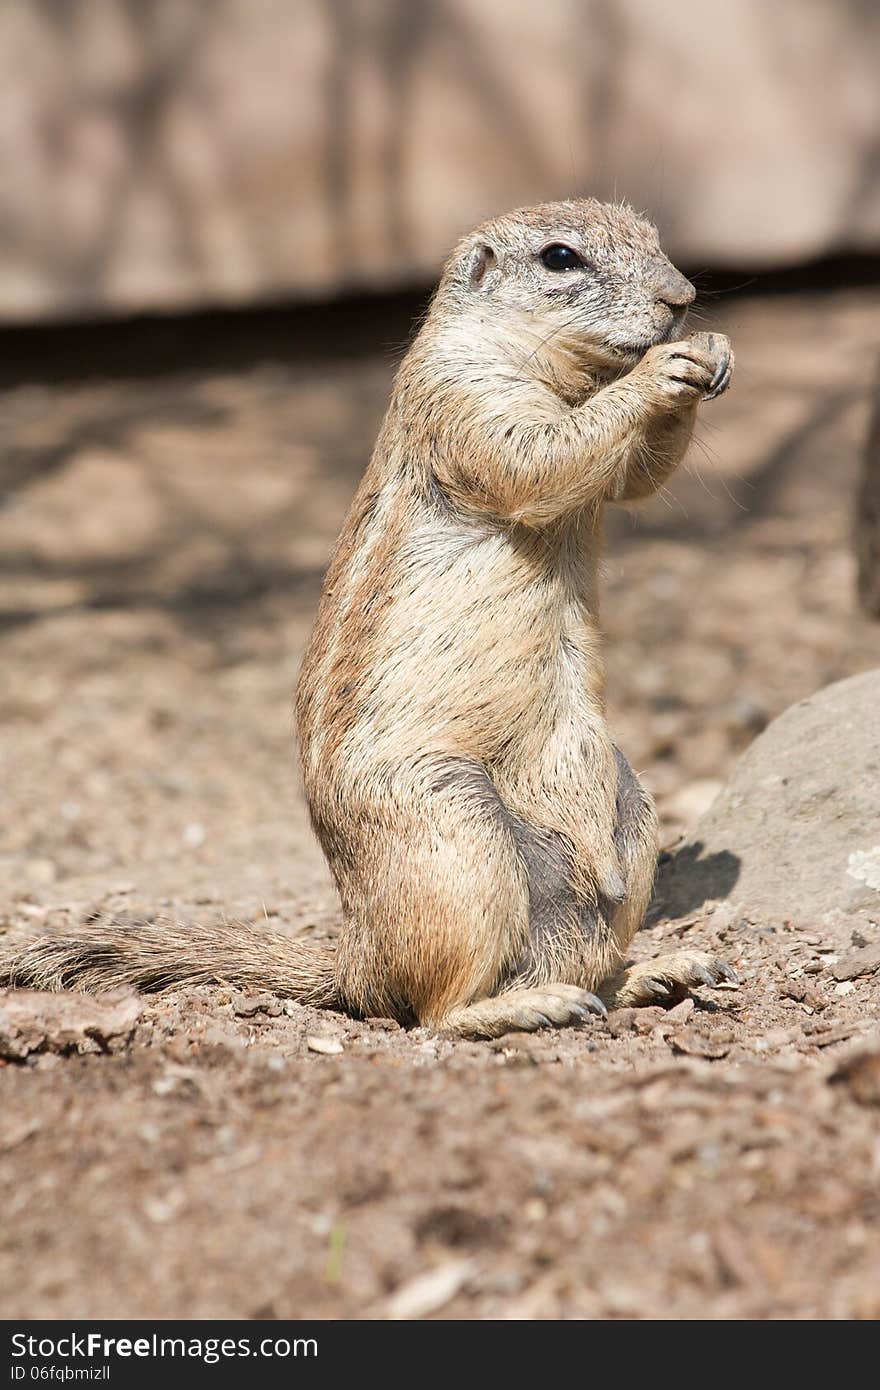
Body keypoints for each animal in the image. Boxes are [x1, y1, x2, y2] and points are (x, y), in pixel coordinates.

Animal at [3, 201, 734, 1039]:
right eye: (560, 258)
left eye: (654, 236)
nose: (682, 297)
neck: (561, 372)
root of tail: (356, 961)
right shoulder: (460, 398)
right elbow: (541, 454)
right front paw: (666, 367)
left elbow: (635, 477)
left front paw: (713, 350)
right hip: (453, 832)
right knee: (436, 1011)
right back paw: (525, 1007)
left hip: (629, 815)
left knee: (585, 964)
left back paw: (656, 972)